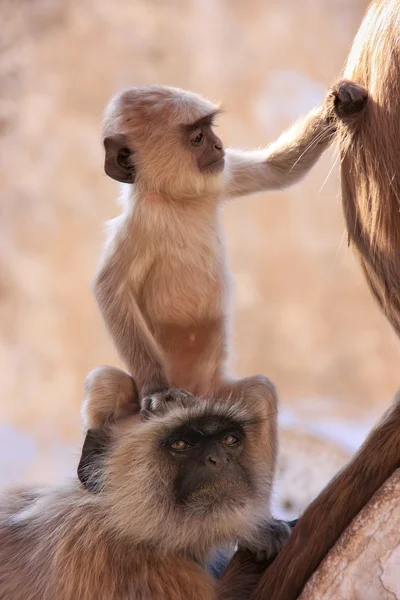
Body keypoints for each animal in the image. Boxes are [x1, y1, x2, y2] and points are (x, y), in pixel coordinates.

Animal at [86, 78, 368, 422]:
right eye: (197, 138)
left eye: (211, 131)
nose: (219, 146)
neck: (176, 201)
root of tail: (195, 390)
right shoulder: (138, 227)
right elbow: (110, 290)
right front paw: (159, 390)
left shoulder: (221, 174)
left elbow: (277, 170)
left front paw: (342, 103)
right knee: (106, 383)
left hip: (216, 394)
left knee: (260, 393)